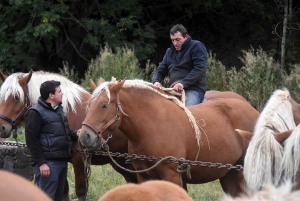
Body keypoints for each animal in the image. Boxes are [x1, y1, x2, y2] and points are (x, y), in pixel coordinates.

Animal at [0, 72, 137, 201]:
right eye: (1, 97)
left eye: (16, 97)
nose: (2, 127)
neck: (68, 112)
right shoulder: (63, 161)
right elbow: (63, 190)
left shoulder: (79, 161)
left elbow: (80, 191)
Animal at [78, 79, 258, 196]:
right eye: (89, 105)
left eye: (104, 105)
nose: (84, 136)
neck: (152, 127)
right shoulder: (143, 177)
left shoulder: (171, 177)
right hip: (229, 175)